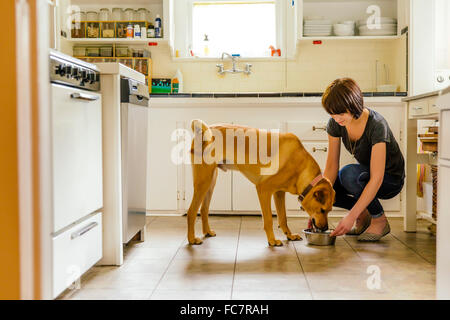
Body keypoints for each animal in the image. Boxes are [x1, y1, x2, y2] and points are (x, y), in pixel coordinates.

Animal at [186, 119, 334, 246]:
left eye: (329, 211)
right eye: (322, 210)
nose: (325, 228)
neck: (300, 166)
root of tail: (202, 131)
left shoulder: (279, 193)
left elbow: (283, 218)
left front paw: (289, 235)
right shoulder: (264, 189)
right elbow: (268, 219)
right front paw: (272, 240)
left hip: (211, 181)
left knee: (203, 209)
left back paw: (207, 232)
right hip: (203, 181)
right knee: (191, 211)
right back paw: (192, 239)